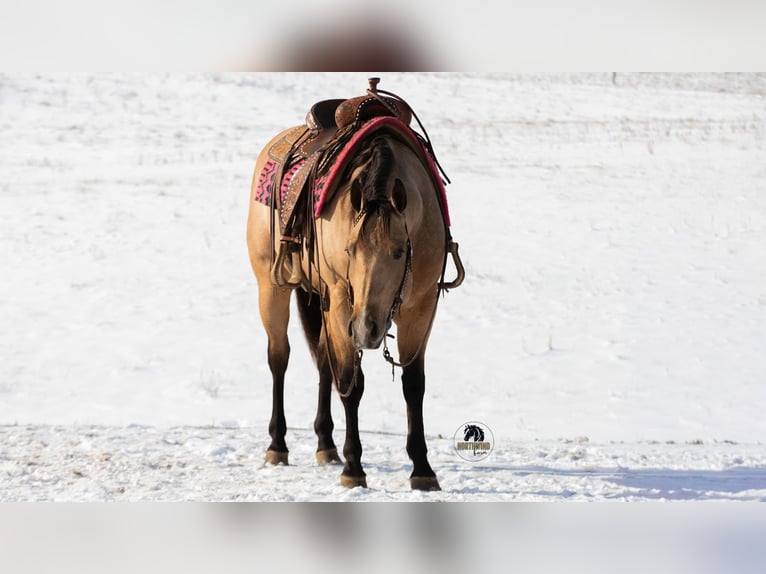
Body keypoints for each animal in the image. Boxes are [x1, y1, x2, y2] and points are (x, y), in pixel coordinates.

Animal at [246, 79, 463, 490]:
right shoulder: (342, 300)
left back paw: (325, 445)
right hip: (273, 287)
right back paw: (278, 445)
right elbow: (353, 382)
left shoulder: (421, 304)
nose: (367, 328)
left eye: (399, 251)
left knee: (323, 361)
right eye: (349, 249)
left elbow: (413, 384)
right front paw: (353, 468)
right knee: (279, 357)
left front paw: (422, 469)